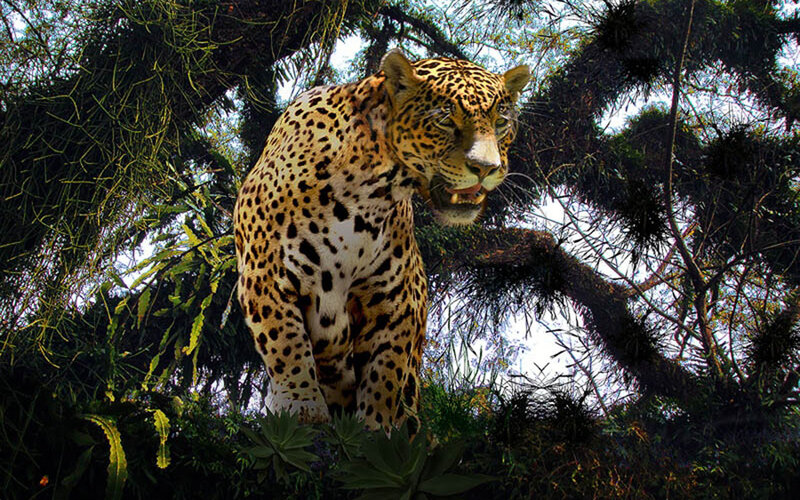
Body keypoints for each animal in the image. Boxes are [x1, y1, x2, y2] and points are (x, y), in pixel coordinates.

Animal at [234, 49, 529, 431]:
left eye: (501, 122)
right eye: (445, 120)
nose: (486, 168)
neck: (369, 189)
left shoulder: (397, 296)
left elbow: (385, 371)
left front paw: (376, 428)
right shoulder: (266, 274)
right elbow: (285, 342)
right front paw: (301, 405)